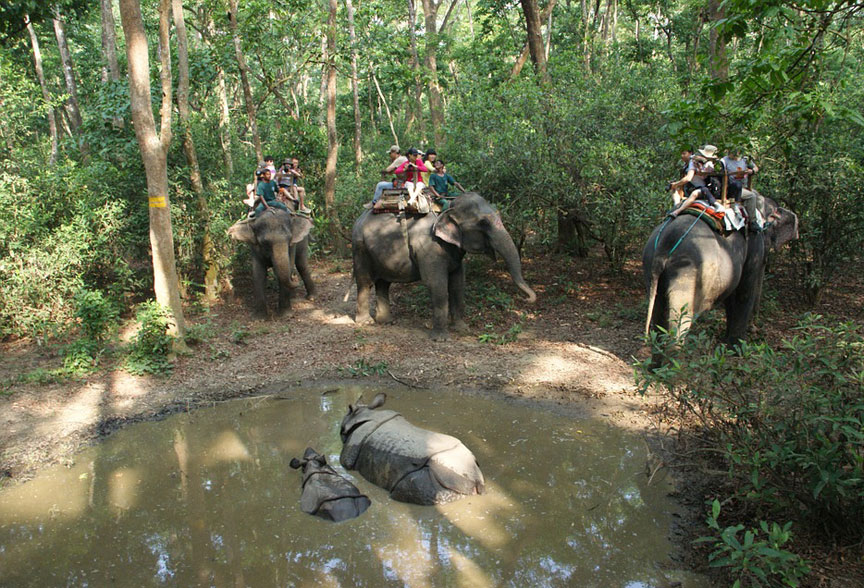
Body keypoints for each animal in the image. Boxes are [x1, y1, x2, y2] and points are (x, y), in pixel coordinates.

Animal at [352, 193, 532, 340]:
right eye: (483, 222)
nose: (528, 298)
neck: (447, 208)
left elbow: (458, 284)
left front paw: (462, 329)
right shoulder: (428, 245)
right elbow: (436, 283)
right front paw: (441, 339)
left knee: (383, 283)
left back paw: (386, 322)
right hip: (360, 247)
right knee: (364, 282)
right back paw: (366, 322)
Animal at [640, 192, 796, 362]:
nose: (755, 327)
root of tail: (664, 244)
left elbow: (732, 297)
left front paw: (727, 343)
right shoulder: (754, 245)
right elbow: (744, 292)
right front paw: (738, 351)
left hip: (651, 262)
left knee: (658, 308)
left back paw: (655, 365)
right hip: (688, 270)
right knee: (682, 316)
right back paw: (674, 366)